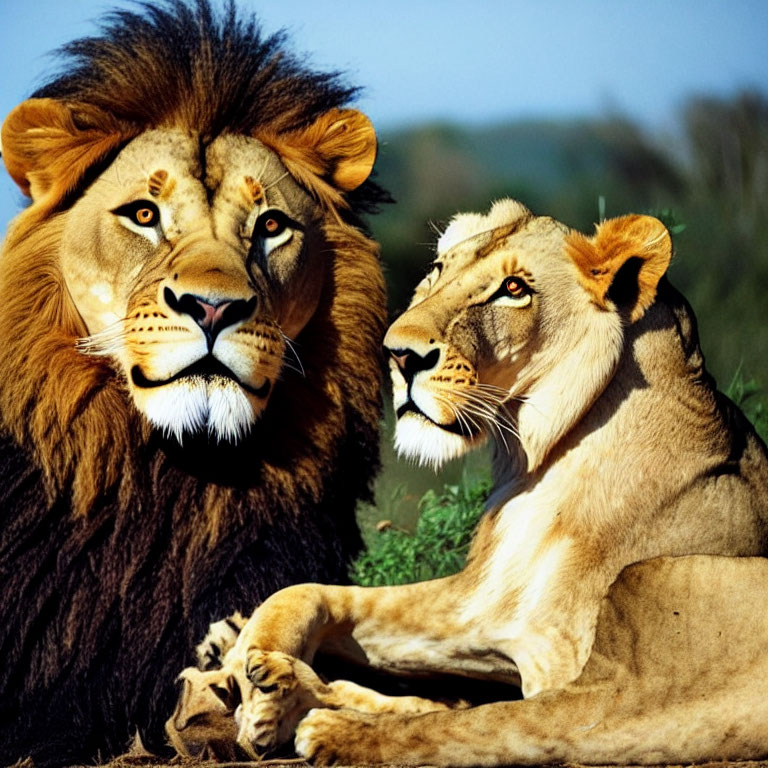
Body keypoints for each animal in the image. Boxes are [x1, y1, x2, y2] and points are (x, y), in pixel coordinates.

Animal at [172, 201, 768, 764]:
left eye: (514, 289)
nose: (399, 355)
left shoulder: (580, 674)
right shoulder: (481, 607)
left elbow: (477, 721)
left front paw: (281, 702)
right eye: (439, 270)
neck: (537, 458)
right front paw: (251, 653)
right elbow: (309, 591)